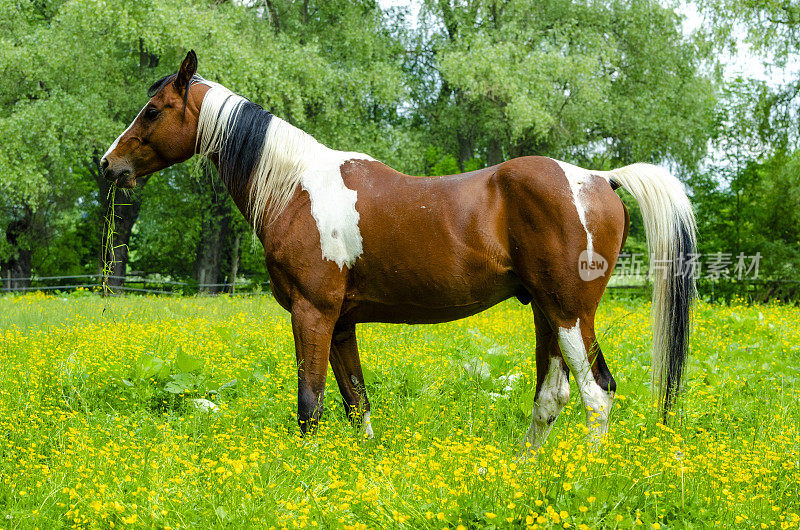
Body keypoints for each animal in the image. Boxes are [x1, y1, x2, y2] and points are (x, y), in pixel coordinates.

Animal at [103, 50, 696, 450]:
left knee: (598, 394)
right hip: (546, 313)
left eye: (153, 110)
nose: (109, 165)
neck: (296, 188)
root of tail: (599, 178)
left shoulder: (312, 314)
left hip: (571, 312)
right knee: (553, 396)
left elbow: (310, 404)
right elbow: (355, 402)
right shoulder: (341, 322)